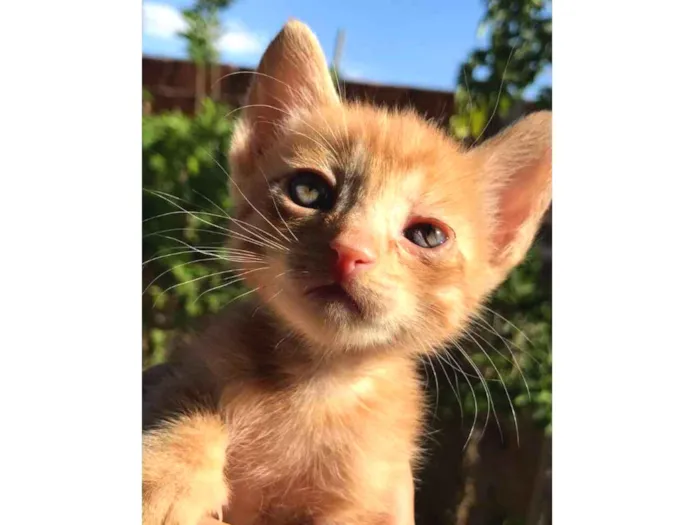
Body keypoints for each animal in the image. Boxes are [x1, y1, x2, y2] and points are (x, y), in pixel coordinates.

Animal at [144, 18, 552, 524]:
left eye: (427, 235)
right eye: (308, 190)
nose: (349, 250)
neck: (317, 383)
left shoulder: (369, 489)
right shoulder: (191, 365)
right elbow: (185, 401)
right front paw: (168, 478)